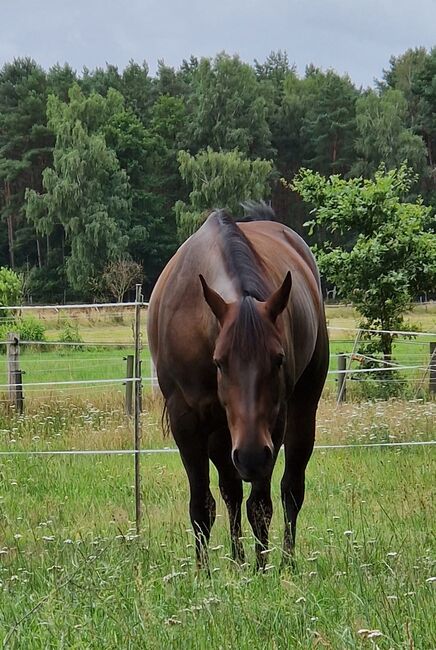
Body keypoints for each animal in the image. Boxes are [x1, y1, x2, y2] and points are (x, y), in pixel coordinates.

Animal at [147, 204, 329, 568]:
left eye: (278, 359)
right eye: (219, 362)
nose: (250, 455)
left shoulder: (272, 426)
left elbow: (259, 506)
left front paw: (261, 569)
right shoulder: (186, 422)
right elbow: (202, 505)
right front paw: (204, 572)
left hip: (301, 411)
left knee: (291, 489)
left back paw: (285, 562)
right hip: (221, 434)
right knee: (230, 491)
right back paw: (237, 561)